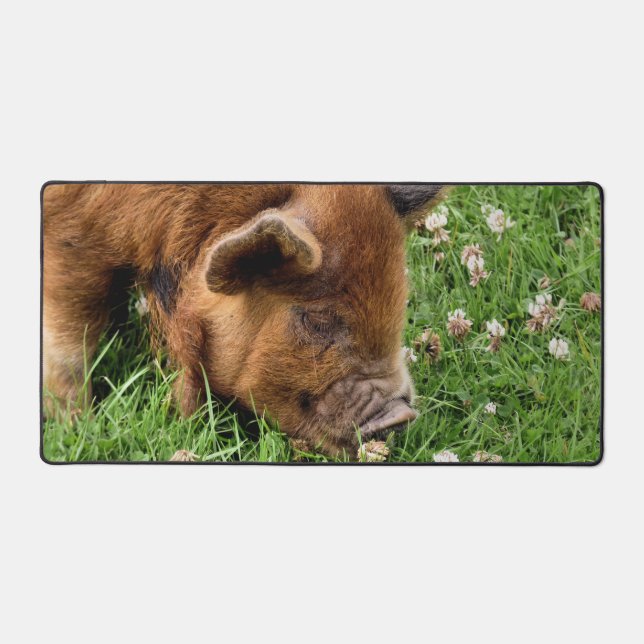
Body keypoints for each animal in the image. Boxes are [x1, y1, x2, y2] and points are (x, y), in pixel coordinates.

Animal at [42, 183, 445, 456]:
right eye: (318, 319)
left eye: (399, 302)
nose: (401, 415)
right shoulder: (72, 235)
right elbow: (69, 340)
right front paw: (75, 424)